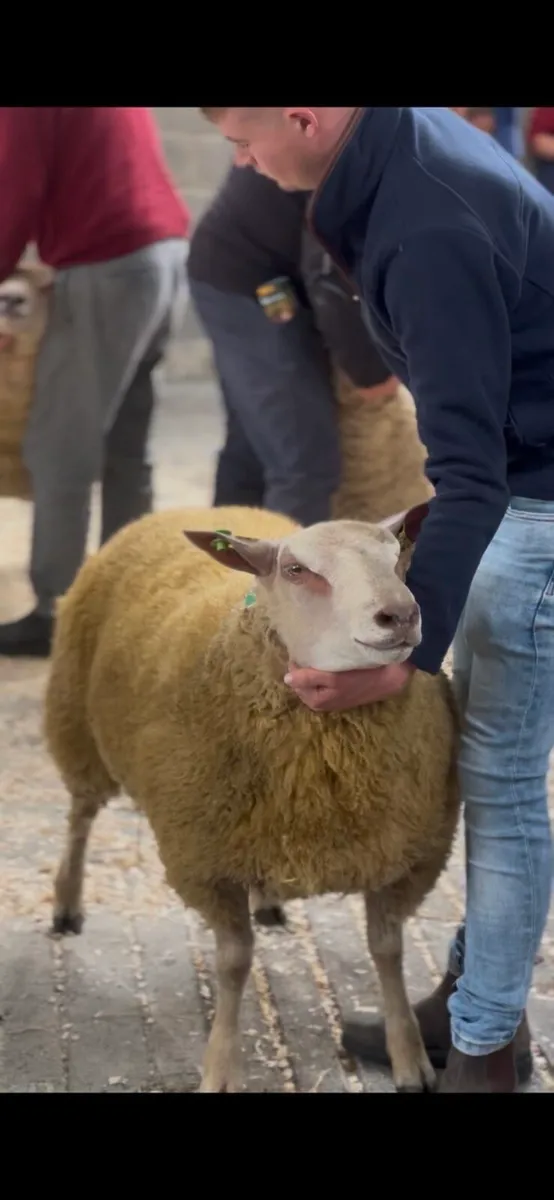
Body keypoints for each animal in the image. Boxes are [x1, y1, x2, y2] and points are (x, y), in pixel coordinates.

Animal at [44, 501, 460, 1094]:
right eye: (296, 570)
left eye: (397, 556)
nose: (401, 616)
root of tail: (197, 508)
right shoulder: (205, 860)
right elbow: (235, 963)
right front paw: (221, 1067)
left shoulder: (403, 854)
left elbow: (388, 950)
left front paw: (409, 1056)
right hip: (78, 719)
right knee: (80, 815)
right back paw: (66, 903)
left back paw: (267, 901)